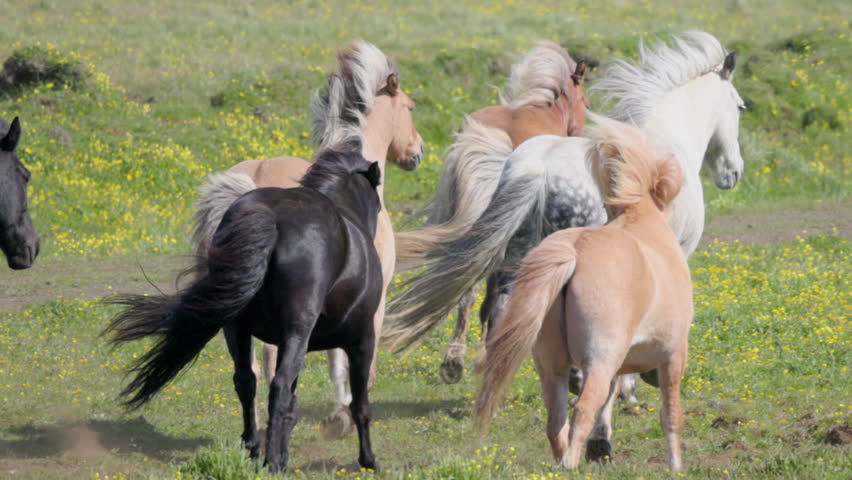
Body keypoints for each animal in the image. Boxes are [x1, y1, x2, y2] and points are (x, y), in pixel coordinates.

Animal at [105, 150, 384, 473]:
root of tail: (272, 218)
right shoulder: (362, 341)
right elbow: (359, 404)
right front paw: (368, 460)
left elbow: (291, 401)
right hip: (296, 331)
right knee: (277, 388)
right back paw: (271, 462)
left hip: (237, 329)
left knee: (246, 382)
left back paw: (254, 448)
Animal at [193, 40, 423, 438]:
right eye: (409, 107)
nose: (417, 152)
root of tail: (255, 179)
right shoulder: (371, 304)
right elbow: (354, 364)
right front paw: (342, 415)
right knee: (271, 364)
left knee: (249, 372)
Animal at [475, 116, 691, 472]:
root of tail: (573, 252)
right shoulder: (673, 355)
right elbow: (670, 415)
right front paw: (675, 467)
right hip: (599, 362)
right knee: (582, 411)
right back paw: (570, 464)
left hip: (552, 365)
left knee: (555, 420)